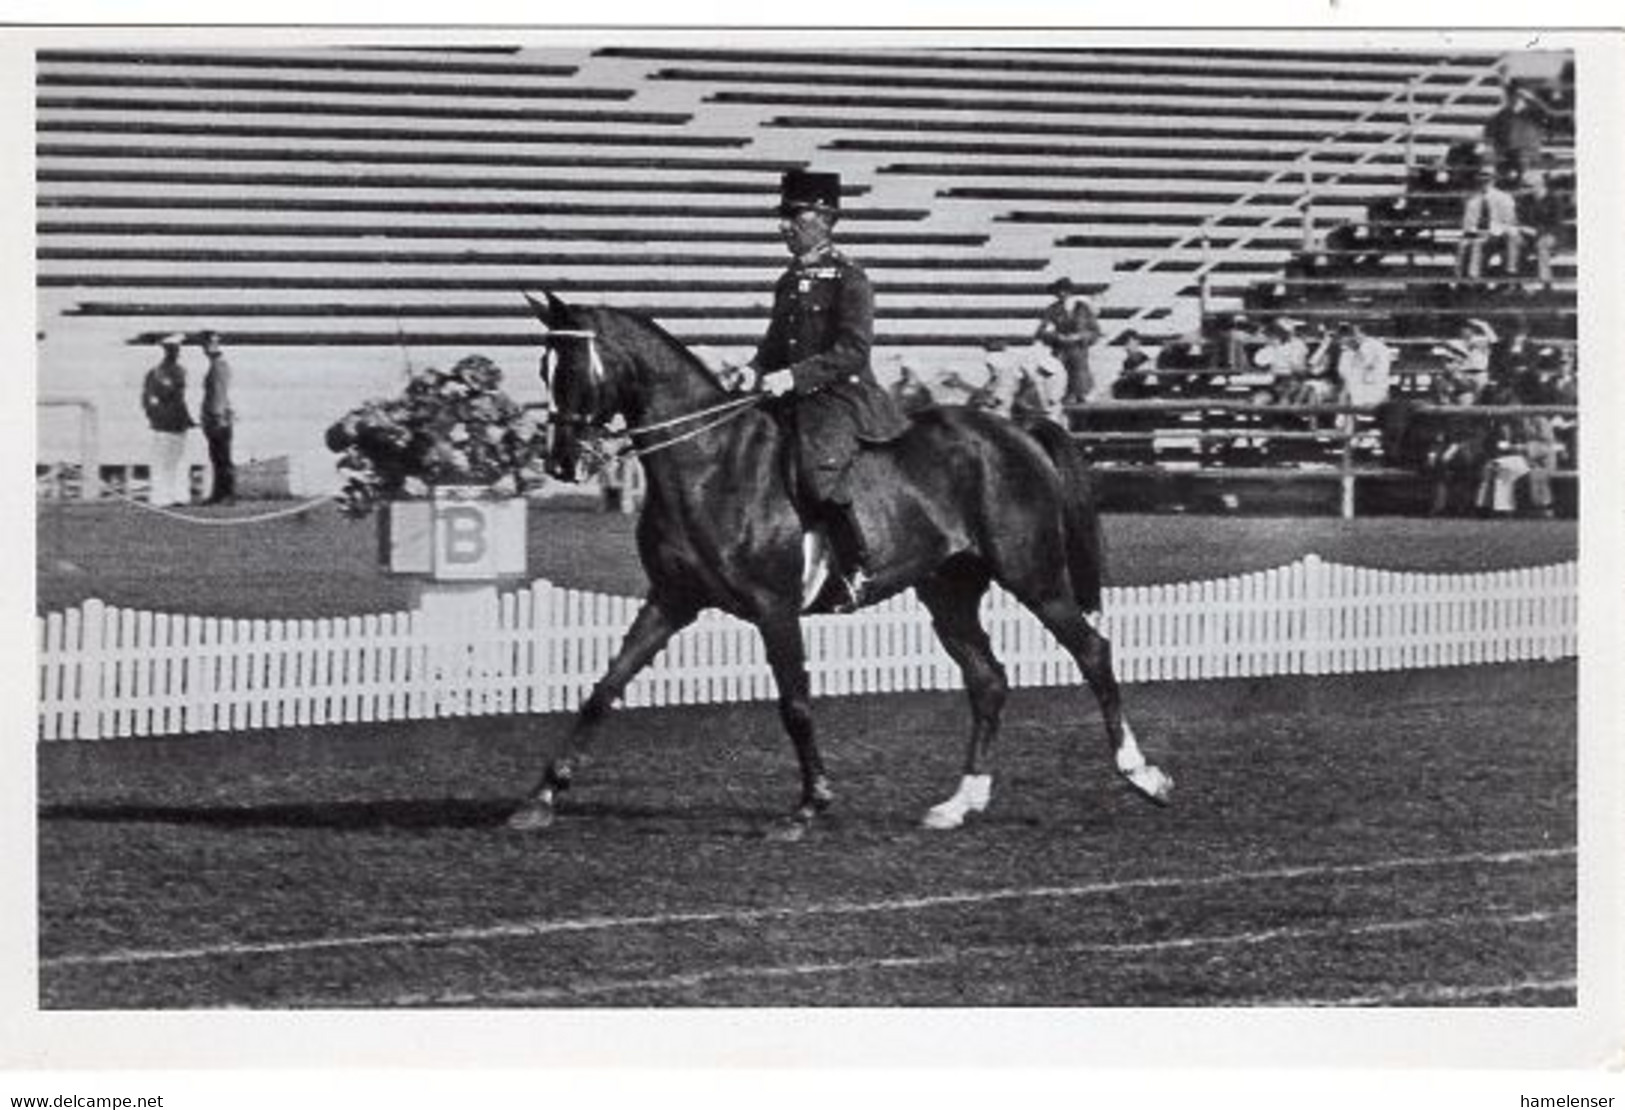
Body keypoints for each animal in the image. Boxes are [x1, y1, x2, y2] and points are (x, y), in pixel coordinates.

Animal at [507, 295, 1170, 832]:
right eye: (543, 368)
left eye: (572, 370)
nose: (562, 461)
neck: (710, 462)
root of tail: (1019, 431)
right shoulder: (671, 600)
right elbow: (603, 689)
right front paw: (541, 797)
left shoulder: (774, 608)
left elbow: (796, 704)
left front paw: (809, 804)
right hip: (949, 592)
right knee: (988, 680)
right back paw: (959, 803)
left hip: (1033, 575)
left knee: (1092, 651)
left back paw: (1140, 774)